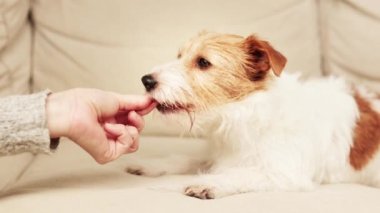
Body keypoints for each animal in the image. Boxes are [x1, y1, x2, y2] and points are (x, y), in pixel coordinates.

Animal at [126, 32, 380, 200]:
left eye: (203, 62)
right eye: (179, 56)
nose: (146, 80)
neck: (244, 113)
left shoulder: (285, 173)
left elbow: (241, 173)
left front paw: (208, 182)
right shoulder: (224, 155)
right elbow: (189, 159)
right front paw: (152, 165)